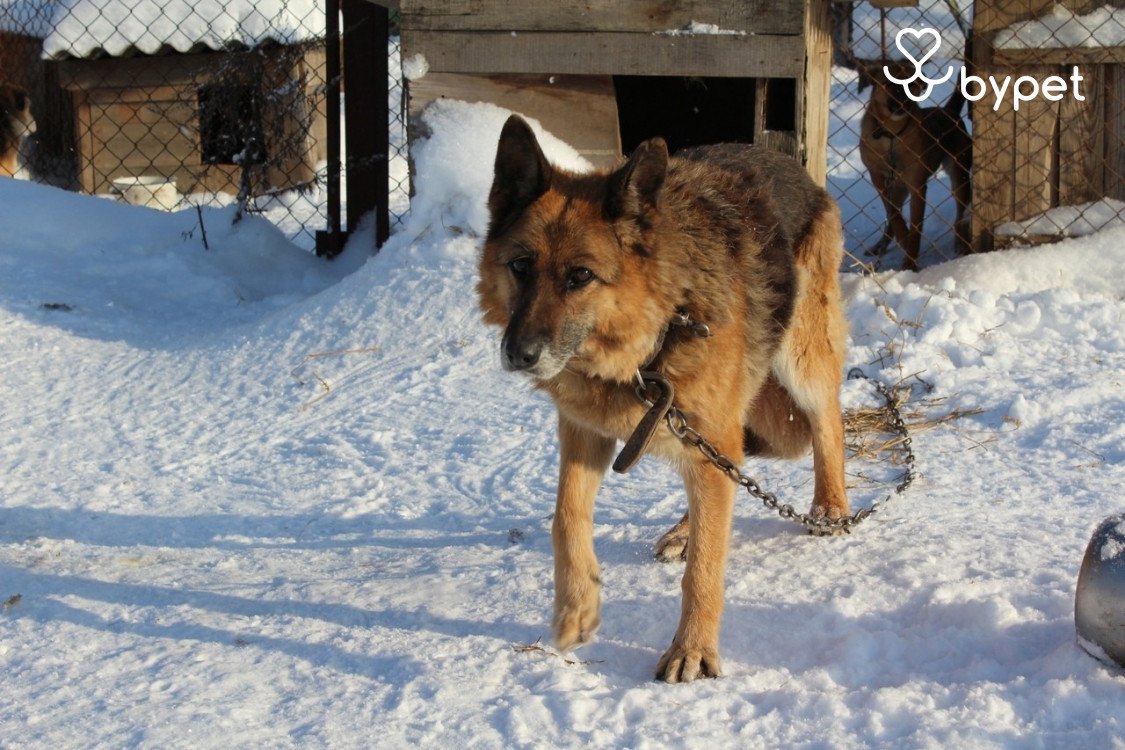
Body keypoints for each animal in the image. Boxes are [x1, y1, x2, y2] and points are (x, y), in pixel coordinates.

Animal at [477, 114, 850, 683]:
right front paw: (576, 608)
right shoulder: (584, 430)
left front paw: (692, 649)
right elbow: (566, 516)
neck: (657, 330)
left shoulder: (704, 431)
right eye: (520, 266)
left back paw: (830, 506)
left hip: (799, 359)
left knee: (827, 420)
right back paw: (684, 531)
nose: (519, 354)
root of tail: (786, 160)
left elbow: (705, 569)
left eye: (580, 276)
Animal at [855, 62, 972, 269]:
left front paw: (910, 262)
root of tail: (949, 111)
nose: (902, 99)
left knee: (961, 213)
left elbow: (915, 228)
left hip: (959, 176)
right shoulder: (879, 180)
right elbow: (894, 216)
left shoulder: (917, 186)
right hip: (897, 188)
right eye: (887, 83)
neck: (891, 136)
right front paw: (903, 239)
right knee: (892, 216)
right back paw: (880, 246)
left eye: (911, 84)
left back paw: (960, 243)